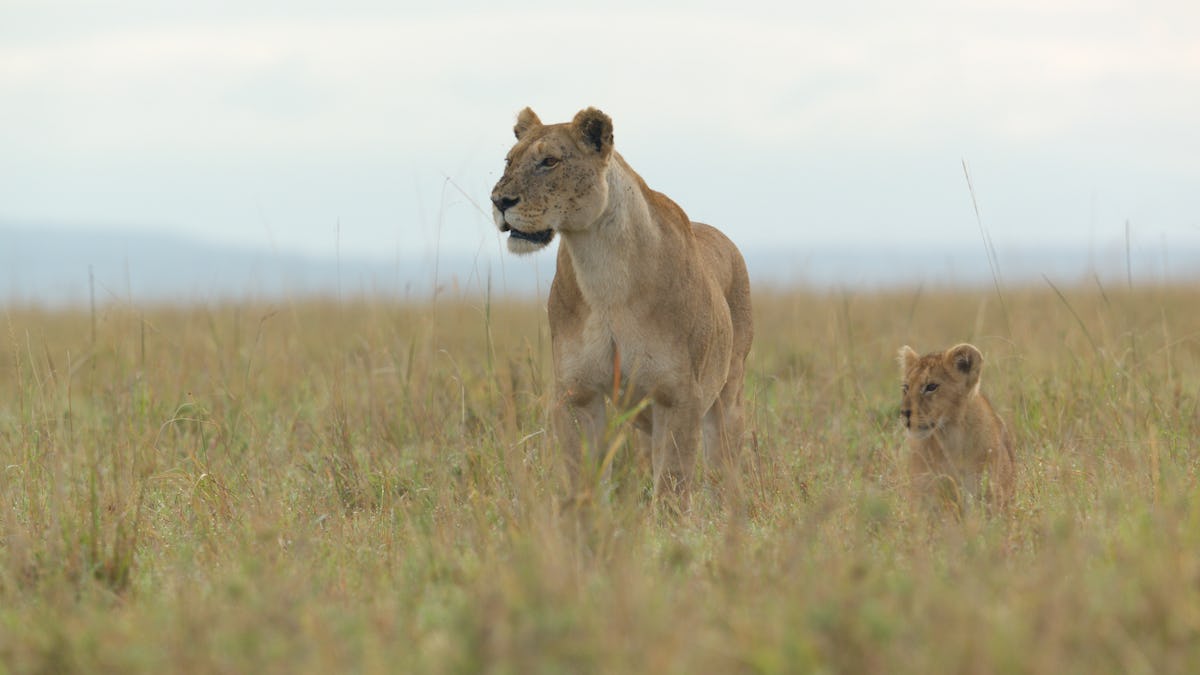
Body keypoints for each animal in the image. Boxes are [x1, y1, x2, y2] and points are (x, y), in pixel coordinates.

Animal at [490, 106, 753, 500]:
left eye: (550, 161)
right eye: (509, 161)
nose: (499, 201)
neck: (603, 272)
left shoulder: (679, 395)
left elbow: (672, 484)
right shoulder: (577, 393)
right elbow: (581, 475)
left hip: (727, 394)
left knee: (723, 465)